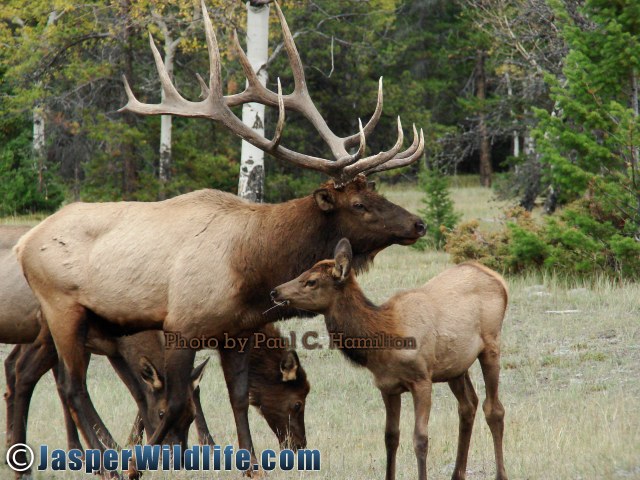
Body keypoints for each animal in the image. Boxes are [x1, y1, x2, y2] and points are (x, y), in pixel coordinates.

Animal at [0, 227, 310, 474]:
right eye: (297, 402)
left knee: (22, 369)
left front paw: (141, 443)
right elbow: (161, 393)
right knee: (42, 376)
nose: (298, 446)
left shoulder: (122, 351)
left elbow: (146, 395)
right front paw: (199, 444)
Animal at [272, 239, 510, 480]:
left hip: (491, 345)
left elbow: (420, 439)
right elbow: (390, 437)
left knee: (494, 410)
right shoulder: (387, 386)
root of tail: (498, 280)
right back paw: (457, 474)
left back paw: (500, 474)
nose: (275, 291)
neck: (383, 341)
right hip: (456, 366)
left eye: (311, 281)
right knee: (468, 406)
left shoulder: (422, 380)